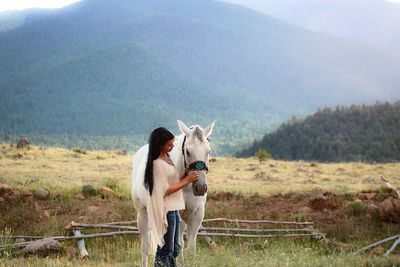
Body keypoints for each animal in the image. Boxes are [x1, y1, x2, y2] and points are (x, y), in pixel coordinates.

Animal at [132, 120, 214, 266]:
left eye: (208, 151)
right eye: (187, 151)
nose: (200, 188)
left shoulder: (197, 214)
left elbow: (191, 248)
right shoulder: (179, 216)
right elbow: (179, 245)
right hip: (142, 212)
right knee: (146, 247)